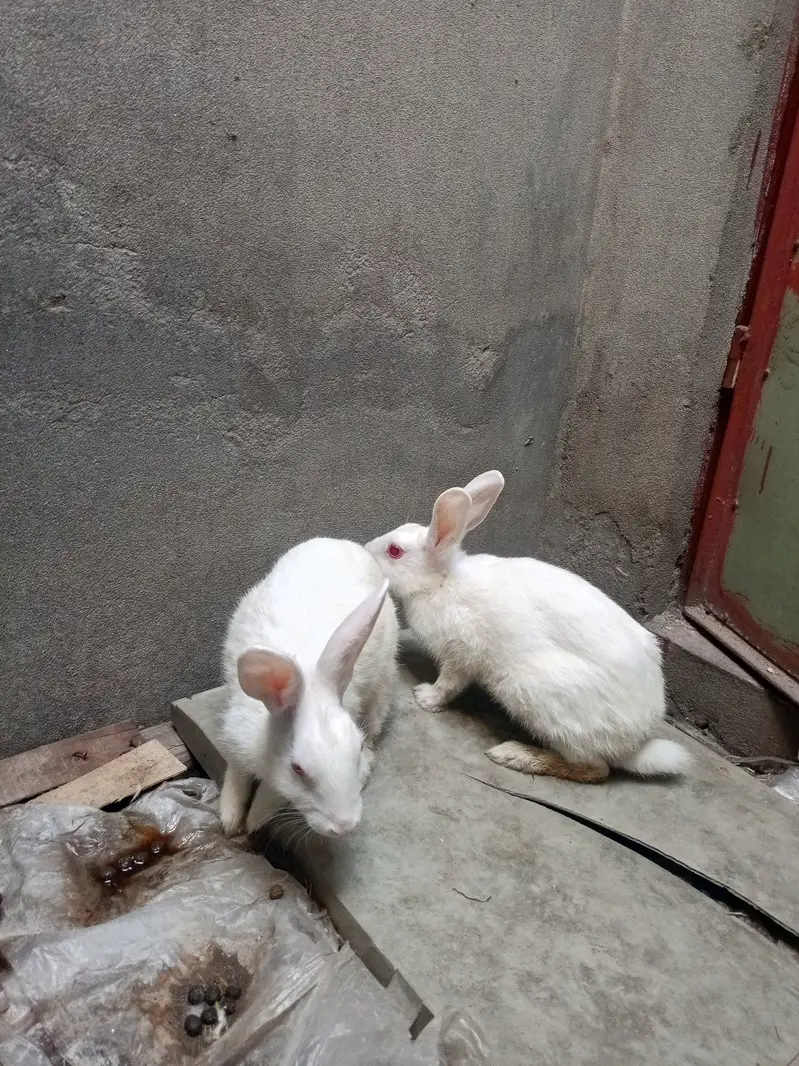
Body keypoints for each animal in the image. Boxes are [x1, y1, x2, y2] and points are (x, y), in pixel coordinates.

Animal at [216, 537, 399, 837]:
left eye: (357, 749)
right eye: (297, 768)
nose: (345, 825)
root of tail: (343, 542)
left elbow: (272, 794)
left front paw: (254, 819)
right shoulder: (236, 740)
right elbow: (235, 775)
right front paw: (230, 820)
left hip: (382, 683)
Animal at [366, 471, 689, 783]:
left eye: (394, 551)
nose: (367, 548)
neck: (441, 582)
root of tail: (635, 744)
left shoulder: (462, 653)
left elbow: (449, 683)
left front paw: (425, 698)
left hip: (540, 697)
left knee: (594, 770)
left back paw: (514, 755)